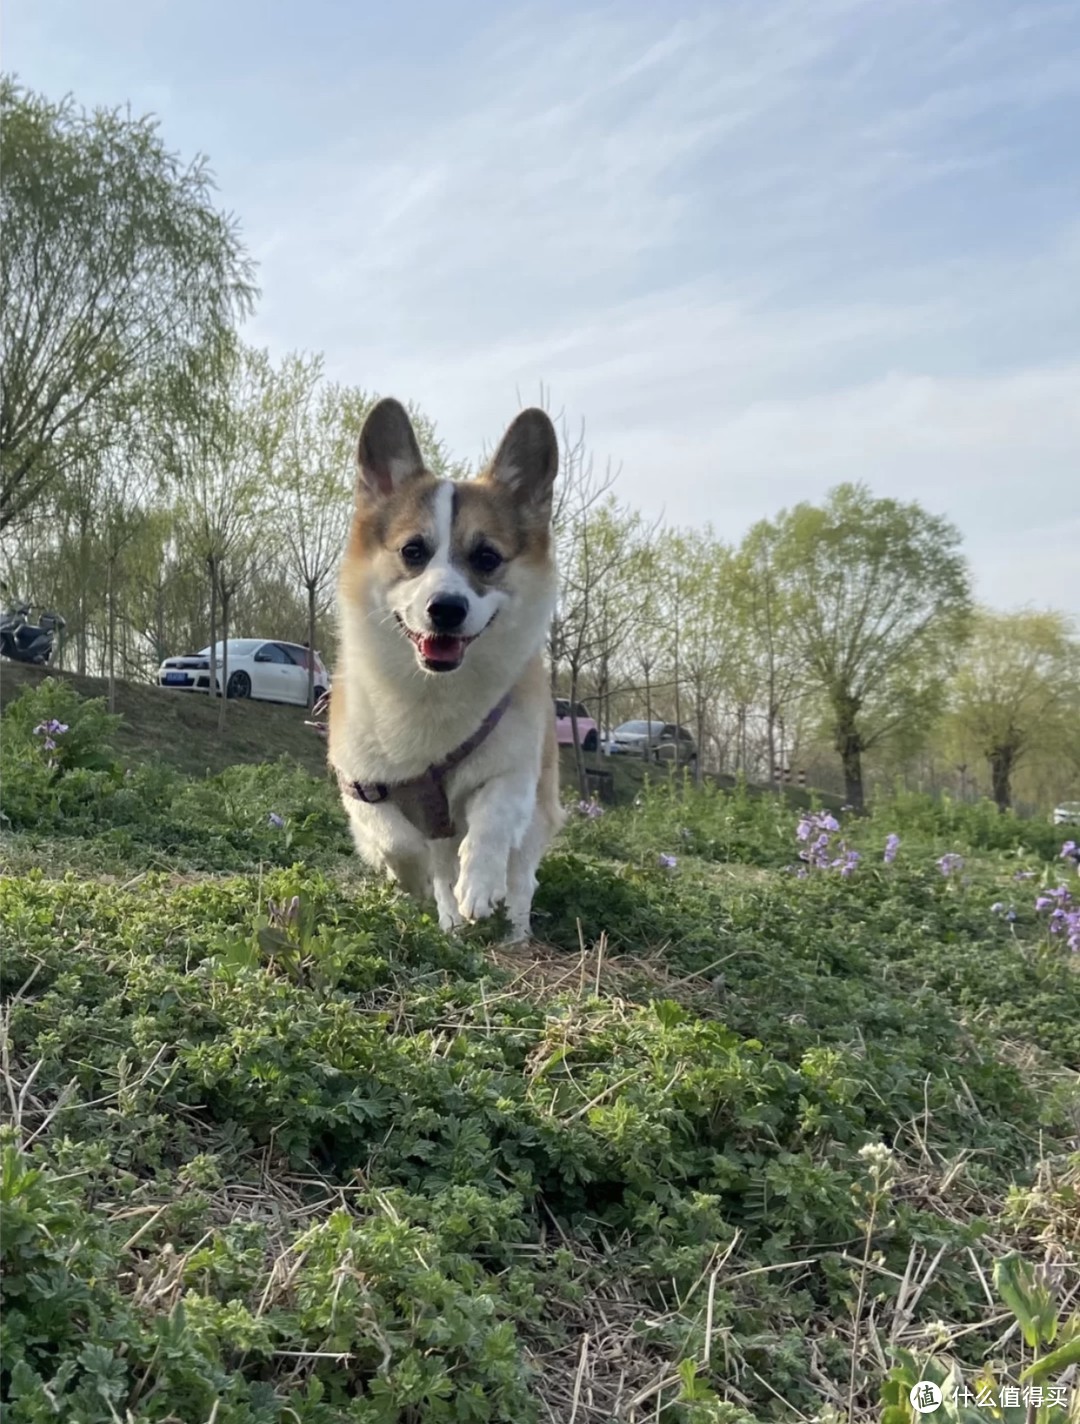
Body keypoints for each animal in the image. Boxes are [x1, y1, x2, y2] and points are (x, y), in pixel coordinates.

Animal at [327, 395, 567, 939]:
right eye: (412, 551)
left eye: (487, 557)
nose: (447, 609)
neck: (432, 693)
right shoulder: (361, 787)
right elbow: (398, 841)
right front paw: (416, 881)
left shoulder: (513, 772)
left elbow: (491, 823)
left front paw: (479, 884)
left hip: (539, 809)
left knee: (521, 874)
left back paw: (513, 928)